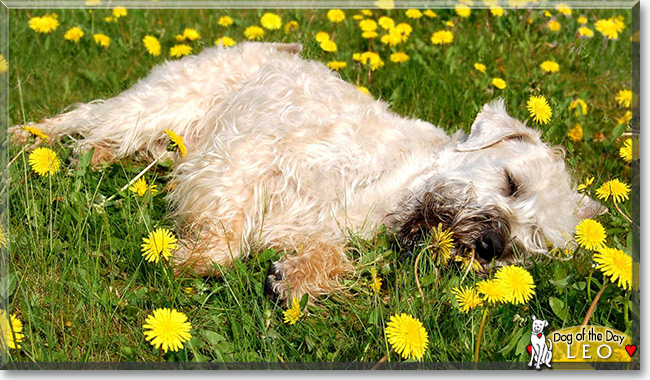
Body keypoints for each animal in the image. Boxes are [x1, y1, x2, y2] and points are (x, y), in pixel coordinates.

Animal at [10, 41, 604, 302]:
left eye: (528, 248)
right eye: (511, 183)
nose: (490, 246)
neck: (393, 185)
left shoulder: (327, 224)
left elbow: (327, 254)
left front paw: (294, 278)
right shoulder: (251, 154)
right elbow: (228, 224)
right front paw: (198, 259)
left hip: (161, 137)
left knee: (112, 143)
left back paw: (95, 158)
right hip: (159, 102)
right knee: (84, 118)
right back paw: (27, 139)